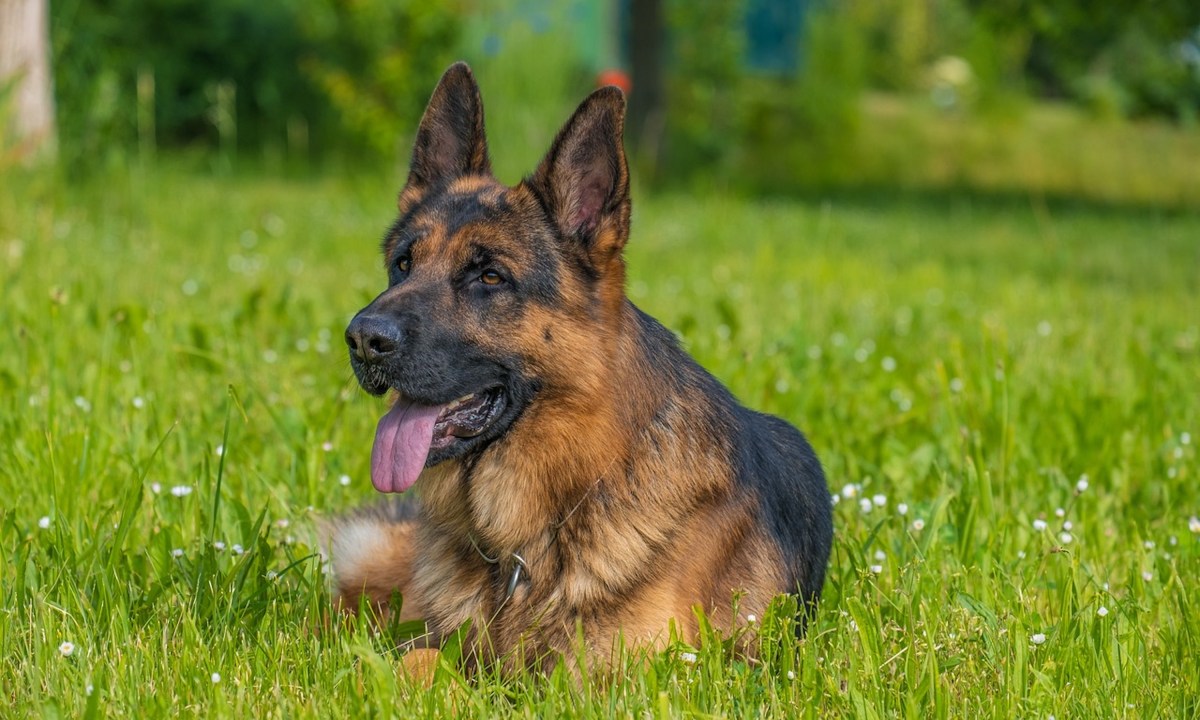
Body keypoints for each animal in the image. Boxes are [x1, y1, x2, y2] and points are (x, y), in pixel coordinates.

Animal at [333, 63, 830, 676]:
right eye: (402, 265)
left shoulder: (620, 674)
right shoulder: (439, 641)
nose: (362, 339)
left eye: (490, 277)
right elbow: (415, 663)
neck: (526, 547)